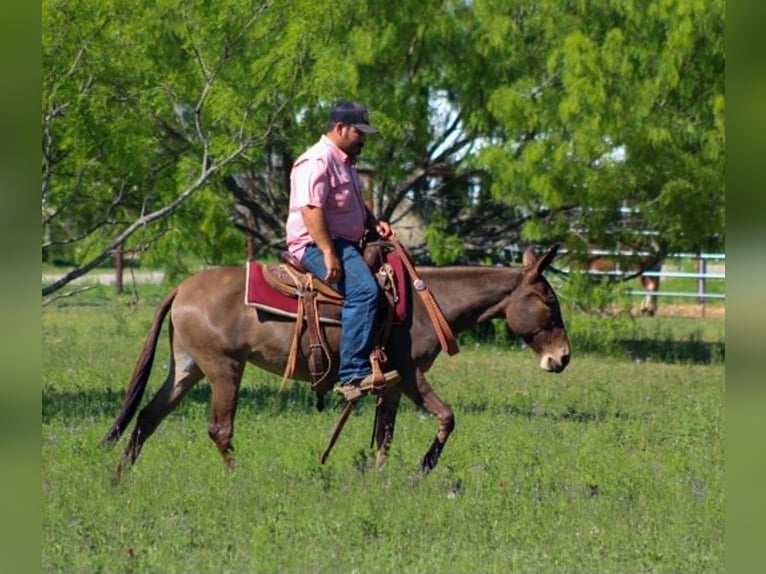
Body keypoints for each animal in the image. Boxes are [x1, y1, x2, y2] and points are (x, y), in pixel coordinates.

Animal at [102, 244, 571, 477]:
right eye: (549, 301)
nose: (563, 357)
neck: (424, 303)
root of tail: (181, 288)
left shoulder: (392, 385)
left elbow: (384, 436)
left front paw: (380, 480)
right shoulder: (412, 376)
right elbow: (447, 417)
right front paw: (424, 468)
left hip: (188, 368)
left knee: (147, 416)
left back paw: (120, 476)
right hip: (224, 370)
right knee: (219, 429)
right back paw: (239, 479)